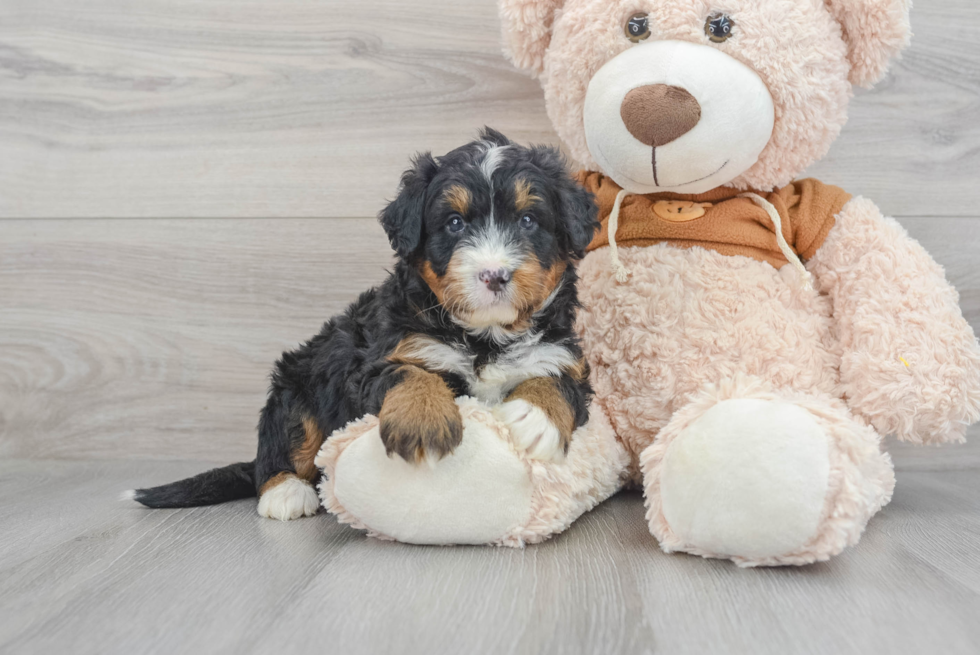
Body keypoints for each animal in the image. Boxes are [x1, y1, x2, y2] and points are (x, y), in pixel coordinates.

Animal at [132, 129, 596, 524]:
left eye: (528, 221)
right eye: (455, 223)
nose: (494, 275)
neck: (487, 336)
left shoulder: (562, 353)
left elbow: (556, 381)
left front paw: (535, 419)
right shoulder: (386, 356)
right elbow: (409, 374)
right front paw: (421, 421)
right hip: (296, 386)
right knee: (282, 447)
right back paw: (286, 493)